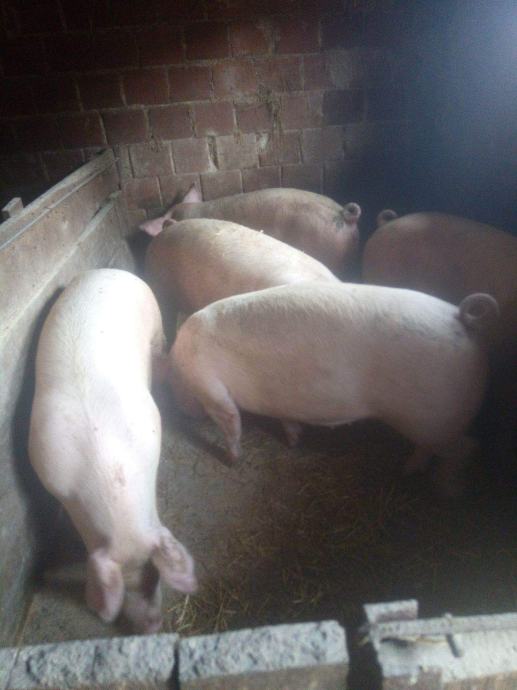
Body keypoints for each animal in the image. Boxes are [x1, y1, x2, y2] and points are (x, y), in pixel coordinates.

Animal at [167, 281, 499, 494]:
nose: (181, 412)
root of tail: (462, 318)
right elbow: (284, 417)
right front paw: (294, 440)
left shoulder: (212, 390)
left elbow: (231, 424)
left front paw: (232, 460)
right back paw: (409, 471)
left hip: (435, 419)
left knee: (465, 448)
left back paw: (436, 484)